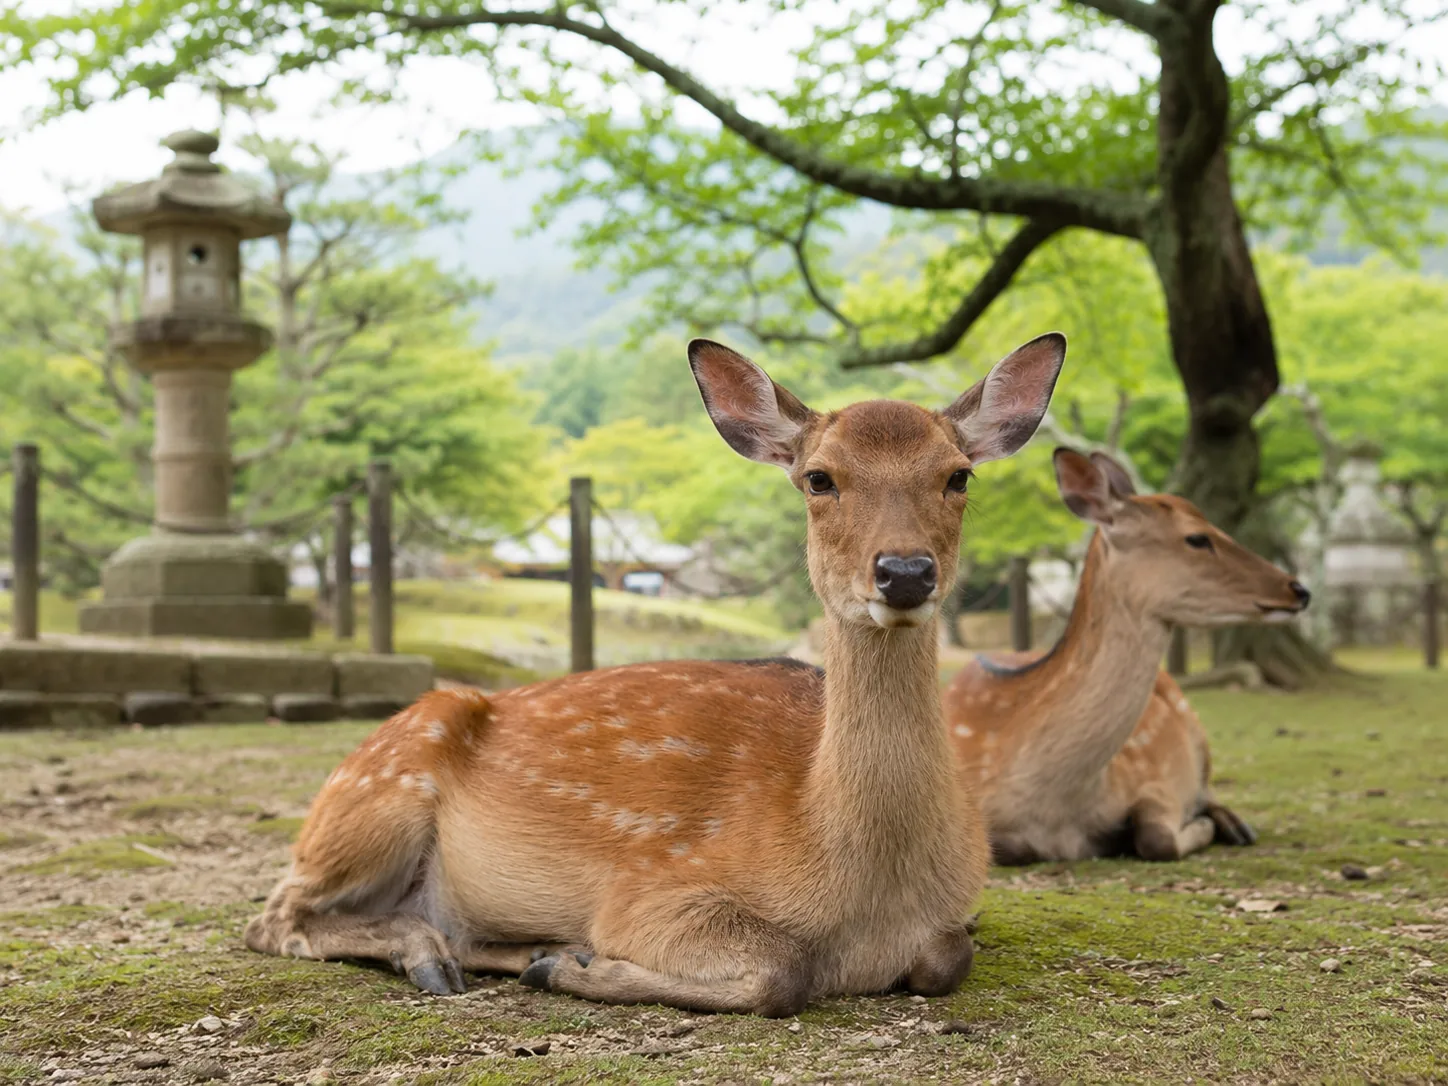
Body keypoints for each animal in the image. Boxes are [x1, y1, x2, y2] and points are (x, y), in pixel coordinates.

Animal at [243, 333, 1068, 1015]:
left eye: (959, 476)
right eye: (819, 478)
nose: (904, 573)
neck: (866, 900)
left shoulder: (960, 910)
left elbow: (947, 956)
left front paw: (560, 961)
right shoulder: (647, 892)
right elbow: (782, 969)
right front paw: (576, 967)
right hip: (376, 793)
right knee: (274, 916)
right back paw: (439, 957)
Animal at [942, 448, 1311, 866]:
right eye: (1197, 538)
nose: (1299, 589)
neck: (1056, 807)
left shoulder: (1150, 777)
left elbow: (1157, 837)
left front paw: (1200, 825)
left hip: (1197, 729)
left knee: (1209, 787)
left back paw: (1235, 825)